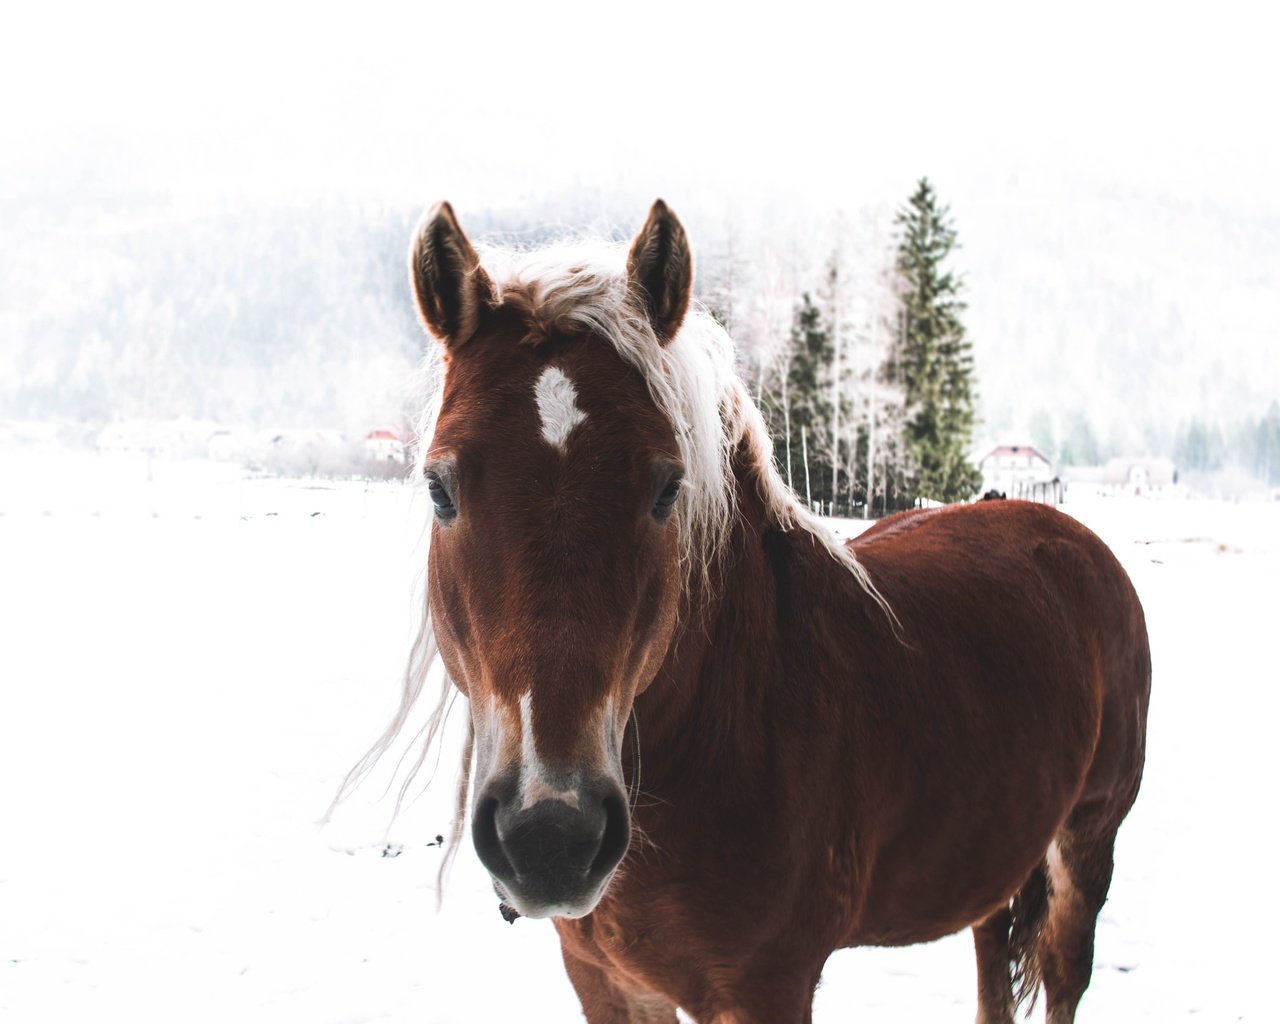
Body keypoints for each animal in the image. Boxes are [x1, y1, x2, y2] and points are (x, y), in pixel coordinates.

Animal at [355, 199, 1157, 1024]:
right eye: (439, 487)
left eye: (667, 487)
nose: (551, 837)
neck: (738, 721)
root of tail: (1063, 533)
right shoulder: (606, 981)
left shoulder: (768, 986)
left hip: (1088, 843)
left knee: (1063, 975)